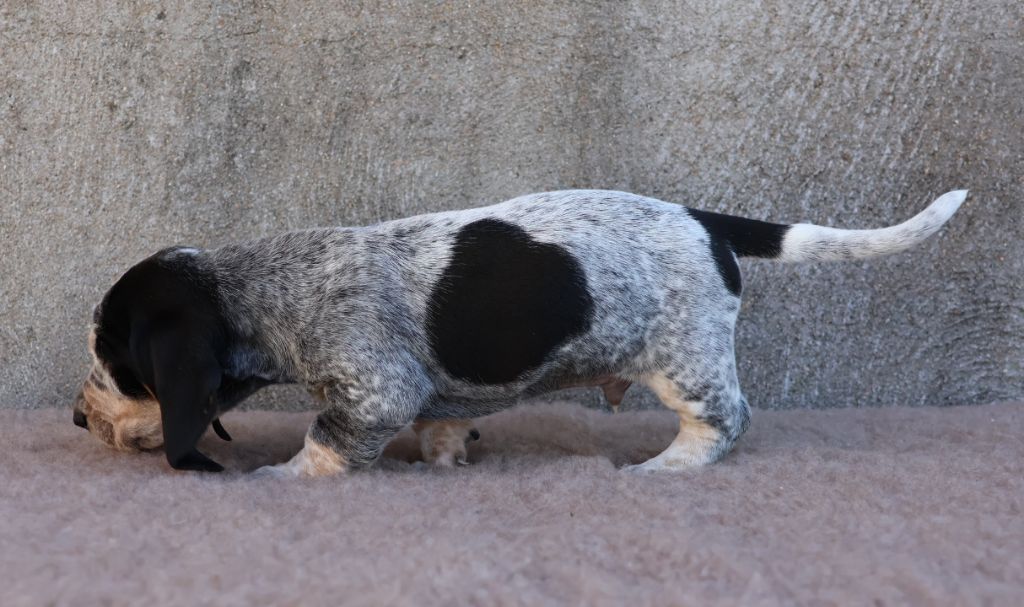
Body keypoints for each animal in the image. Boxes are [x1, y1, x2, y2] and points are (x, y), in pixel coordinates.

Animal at [71, 188, 966, 476]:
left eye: (112, 364)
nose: (78, 419)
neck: (265, 282)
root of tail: (704, 221)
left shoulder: (371, 387)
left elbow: (325, 444)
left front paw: (282, 478)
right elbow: (445, 420)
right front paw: (448, 455)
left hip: (686, 359)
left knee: (723, 421)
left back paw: (664, 468)